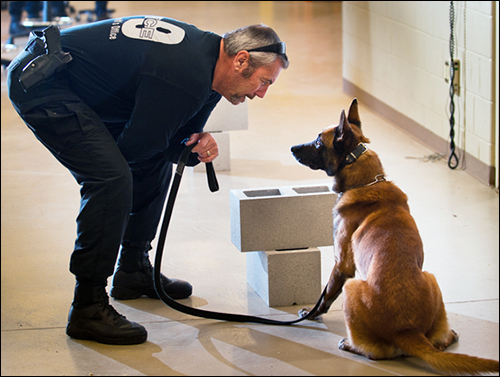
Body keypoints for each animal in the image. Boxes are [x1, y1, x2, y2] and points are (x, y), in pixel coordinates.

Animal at [292, 98, 498, 374]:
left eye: (317, 143)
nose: (292, 148)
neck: (367, 181)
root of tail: (406, 331)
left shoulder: (342, 265)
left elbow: (325, 295)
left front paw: (311, 314)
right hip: (431, 277)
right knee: (438, 343)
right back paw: (447, 336)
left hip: (353, 287)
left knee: (376, 353)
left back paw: (351, 345)